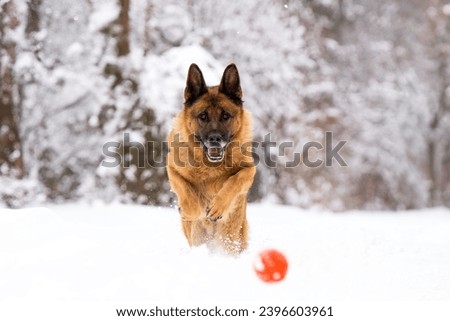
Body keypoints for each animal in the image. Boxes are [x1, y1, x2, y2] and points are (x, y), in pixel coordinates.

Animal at [167, 63, 255, 252]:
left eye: (225, 116)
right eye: (203, 116)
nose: (215, 139)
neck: (210, 165)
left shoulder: (249, 169)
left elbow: (235, 180)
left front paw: (217, 207)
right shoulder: (171, 169)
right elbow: (185, 191)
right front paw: (193, 210)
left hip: (230, 238)